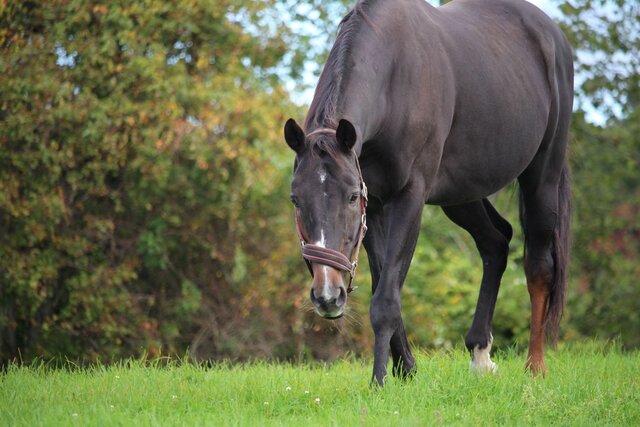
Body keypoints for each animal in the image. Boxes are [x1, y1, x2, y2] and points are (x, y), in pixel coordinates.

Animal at [283, 0, 573, 386]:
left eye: (350, 197)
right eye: (296, 200)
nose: (328, 296)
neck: (393, 78)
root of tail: (552, 36)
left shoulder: (408, 198)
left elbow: (385, 300)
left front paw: (379, 381)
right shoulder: (374, 207)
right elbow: (384, 284)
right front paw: (405, 368)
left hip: (542, 178)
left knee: (539, 267)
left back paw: (535, 366)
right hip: (461, 195)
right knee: (495, 242)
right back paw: (480, 354)